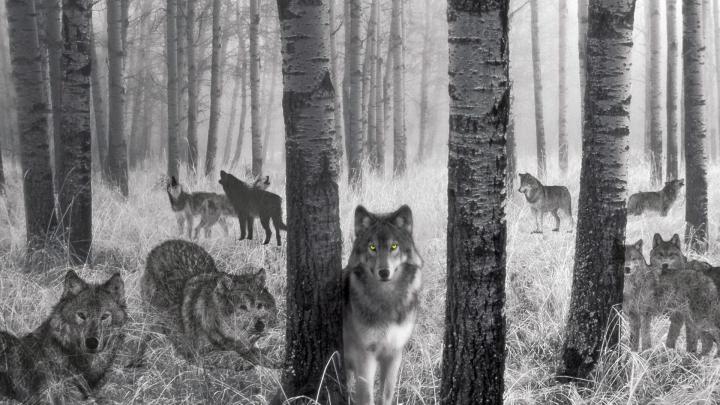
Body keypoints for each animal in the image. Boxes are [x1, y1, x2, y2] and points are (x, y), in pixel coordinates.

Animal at [343, 205, 423, 405]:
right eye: (372, 247)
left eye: (394, 246)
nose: (384, 272)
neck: (387, 300)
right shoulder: (365, 356)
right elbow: (366, 397)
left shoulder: (394, 353)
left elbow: (386, 395)